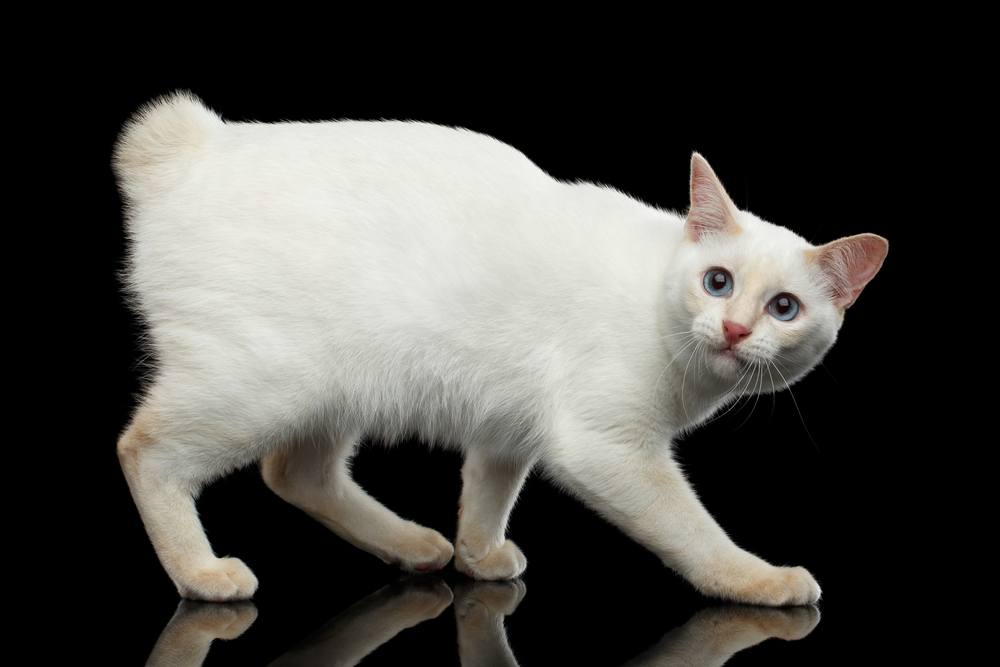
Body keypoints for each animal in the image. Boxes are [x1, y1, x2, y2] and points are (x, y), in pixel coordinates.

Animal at [113, 91, 888, 608]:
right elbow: (694, 531)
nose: (734, 331)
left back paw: (416, 546)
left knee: (294, 473)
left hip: (333, 391)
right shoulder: (607, 448)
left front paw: (478, 557)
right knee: (145, 450)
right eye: (717, 282)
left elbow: (487, 496)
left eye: (784, 308)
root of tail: (194, 145)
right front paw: (758, 580)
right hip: (262, 386)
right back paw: (202, 574)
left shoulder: (507, 429)